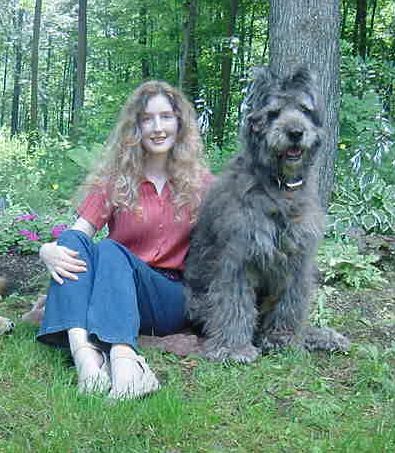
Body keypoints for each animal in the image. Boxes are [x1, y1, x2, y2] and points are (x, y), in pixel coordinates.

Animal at [185, 67, 350, 362]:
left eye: (305, 110)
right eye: (274, 113)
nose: (295, 132)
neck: (281, 188)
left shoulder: (297, 262)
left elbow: (290, 304)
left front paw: (283, 338)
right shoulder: (239, 257)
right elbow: (235, 303)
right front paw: (233, 348)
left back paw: (321, 337)